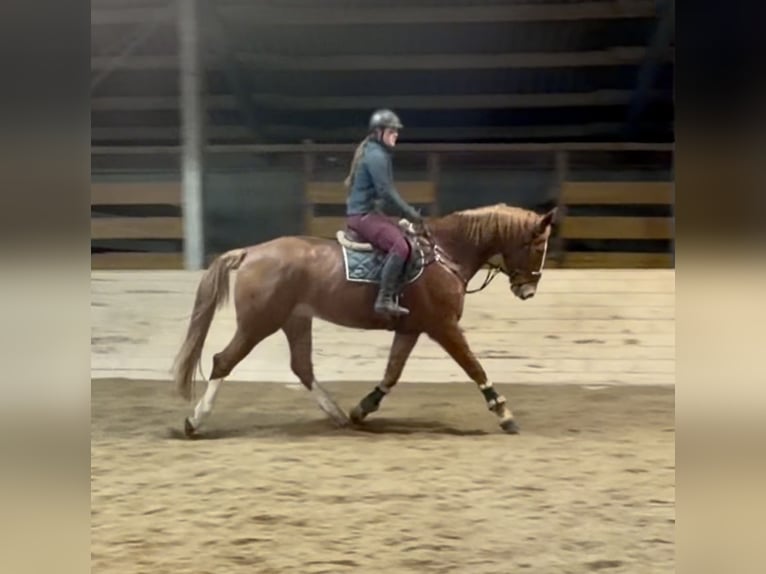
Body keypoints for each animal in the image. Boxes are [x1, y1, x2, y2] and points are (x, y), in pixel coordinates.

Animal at [171, 202, 557, 437]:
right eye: (539, 246)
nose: (528, 290)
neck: (445, 253)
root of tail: (252, 252)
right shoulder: (444, 326)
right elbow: (474, 367)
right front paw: (504, 415)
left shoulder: (412, 328)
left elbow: (392, 372)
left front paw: (363, 409)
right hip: (258, 323)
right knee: (224, 361)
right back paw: (195, 420)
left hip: (295, 321)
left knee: (302, 367)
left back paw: (339, 414)